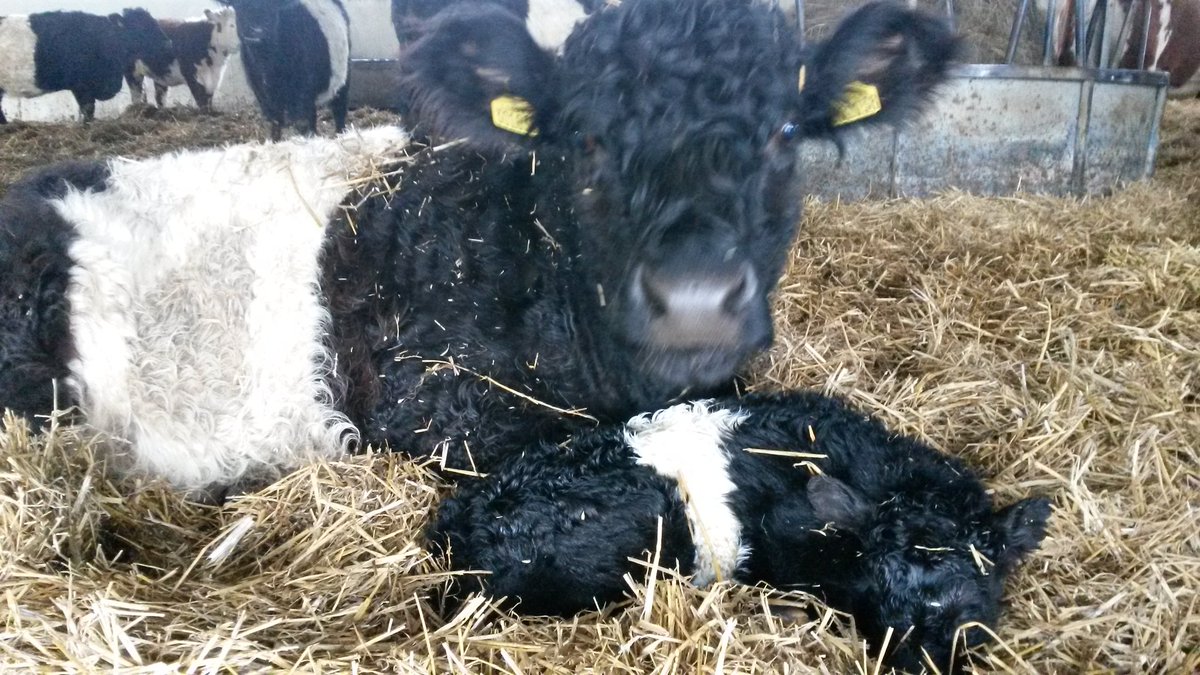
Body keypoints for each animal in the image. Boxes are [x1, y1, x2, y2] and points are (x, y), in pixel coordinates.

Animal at [216, 0, 350, 140]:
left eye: (271, 8)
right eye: (240, 7)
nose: (255, 31)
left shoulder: (304, 90)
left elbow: (303, 121)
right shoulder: (261, 92)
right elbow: (276, 121)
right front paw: (275, 140)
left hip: (342, 79)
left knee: (339, 110)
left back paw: (340, 132)